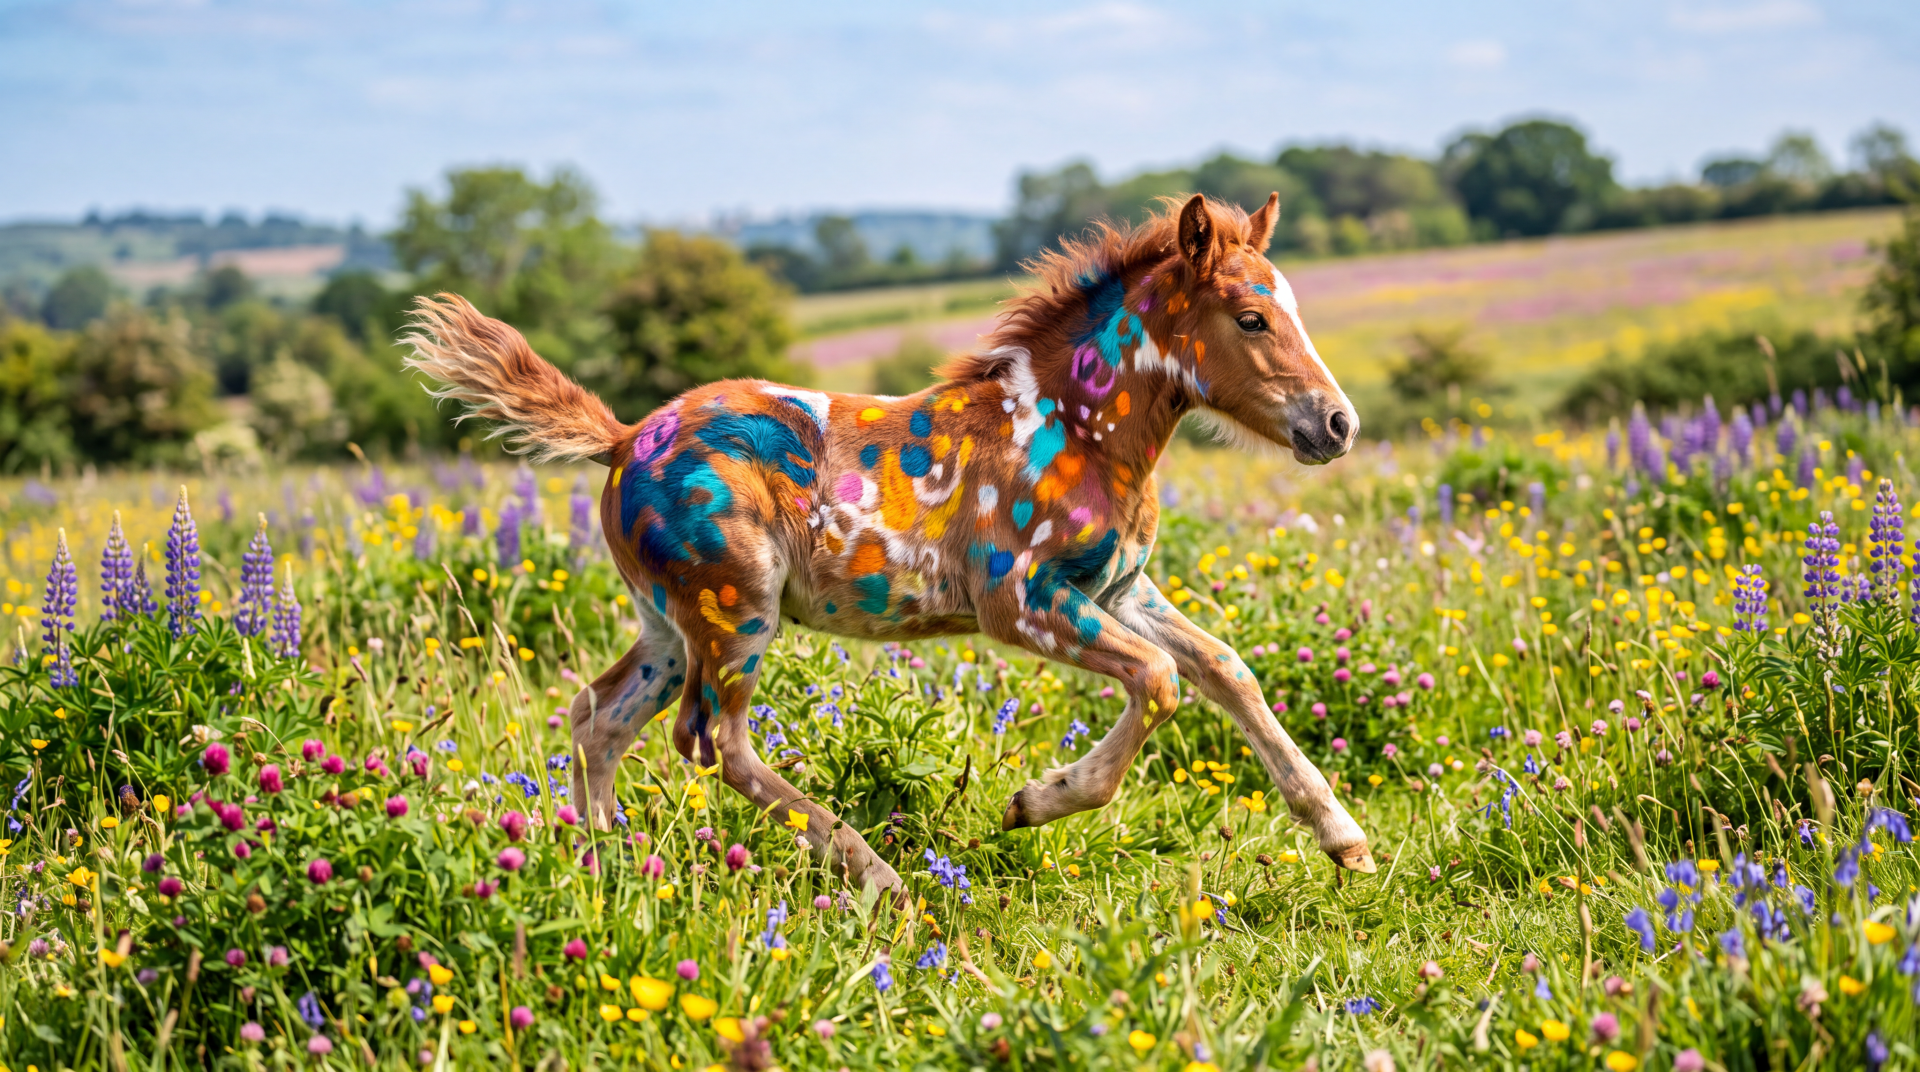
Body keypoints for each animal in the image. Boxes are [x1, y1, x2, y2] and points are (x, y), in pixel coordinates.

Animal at [405, 192, 1374, 891]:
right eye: (1250, 318)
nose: (1337, 424)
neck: (1074, 430)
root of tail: (620, 438)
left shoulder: (1116, 589)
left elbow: (1224, 668)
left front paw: (1344, 838)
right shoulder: (1022, 600)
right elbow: (1163, 680)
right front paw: (1033, 801)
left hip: (669, 629)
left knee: (599, 718)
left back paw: (605, 871)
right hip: (738, 611)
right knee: (716, 742)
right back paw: (877, 876)